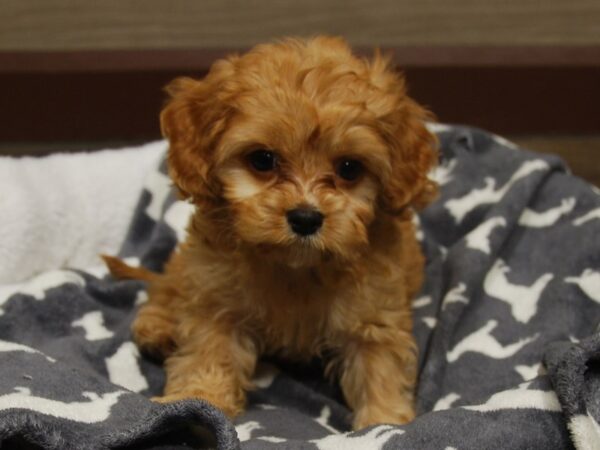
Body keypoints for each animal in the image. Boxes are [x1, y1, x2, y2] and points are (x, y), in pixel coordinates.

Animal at [123, 36, 436, 428]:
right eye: (262, 160)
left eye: (349, 168)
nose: (305, 218)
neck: (295, 269)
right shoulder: (216, 293)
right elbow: (209, 347)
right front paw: (199, 398)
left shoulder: (374, 312)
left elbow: (378, 367)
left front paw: (384, 422)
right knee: (168, 283)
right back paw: (158, 327)